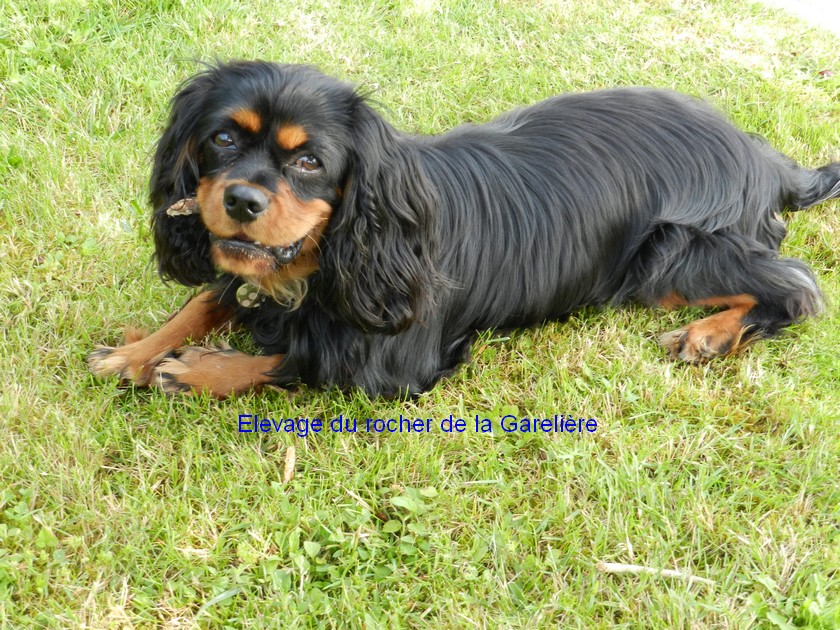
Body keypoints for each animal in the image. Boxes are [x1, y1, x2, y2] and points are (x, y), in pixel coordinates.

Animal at [88, 63, 836, 400]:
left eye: (309, 162)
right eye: (221, 139)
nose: (240, 199)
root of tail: (765, 157)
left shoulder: (399, 360)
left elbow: (302, 359)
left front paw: (198, 368)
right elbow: (209, 297)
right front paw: (137, 352)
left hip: (669, 253)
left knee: (796, 286)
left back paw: (709, 335)